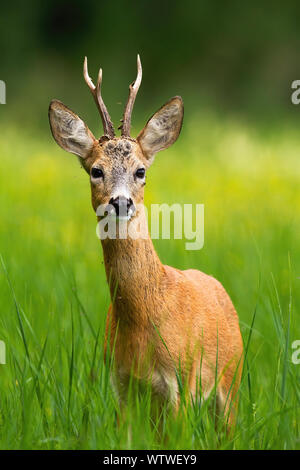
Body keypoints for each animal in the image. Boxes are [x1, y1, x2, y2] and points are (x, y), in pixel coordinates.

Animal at [48, 54, 243, 426]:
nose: (121, 202)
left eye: (140, 171)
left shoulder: (181, 383)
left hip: (231, 383)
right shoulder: (122, 385)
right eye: (96, 170)